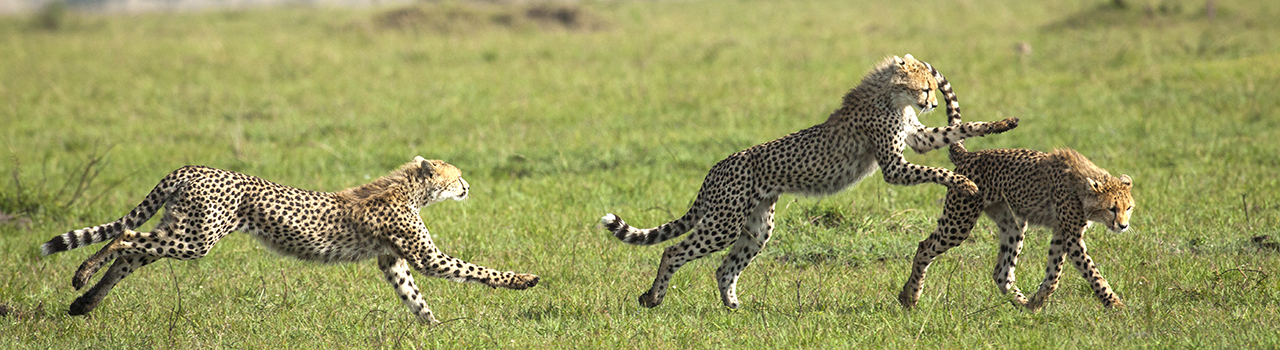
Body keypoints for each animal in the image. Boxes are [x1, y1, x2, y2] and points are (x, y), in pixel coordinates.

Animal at [42, 157, 537, 321]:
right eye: (457, 175)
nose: (468, 186)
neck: (409, 190)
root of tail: (192, 167)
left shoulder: (392, 260)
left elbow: (413, 297)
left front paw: (435, 328)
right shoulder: (424, 255)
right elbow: (473, 269)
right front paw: (524, 280)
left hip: (180, 229)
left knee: (129, 253)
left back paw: (84, 300)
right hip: (195, 238)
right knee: (124, 236)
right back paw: (82, 277)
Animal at [599, 54, 1018, 307]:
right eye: (924, 87)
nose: (930, 102)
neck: (890, 98)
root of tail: (718, 166)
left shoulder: (918, 138)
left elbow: (961, 129)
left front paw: (1004, 123)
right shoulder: (895, 166)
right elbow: (939, 171)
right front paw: (964, 184)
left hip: (757, 227)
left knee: (724, 267)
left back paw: (734, 308)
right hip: (724, 222)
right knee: (673, 251)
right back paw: (653, 298)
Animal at [896, 141, 1136, 307]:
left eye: (1129, 208)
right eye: (1112, 208)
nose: (1123, 226)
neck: (1081, 186)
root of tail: (971, 154)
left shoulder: (1061, 233)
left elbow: (1054, 275)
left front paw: (1038, 301)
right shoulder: (1072, 237)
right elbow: (1092, 272)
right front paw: (1116, 305)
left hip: (1014, 224)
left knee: (1001, 274)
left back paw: (1023, 304)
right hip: (959, 222)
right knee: (924, 247)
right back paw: (910, 297)